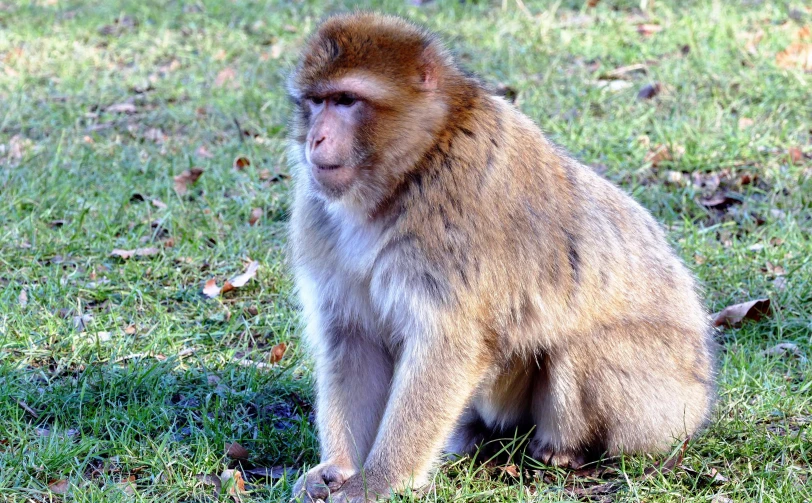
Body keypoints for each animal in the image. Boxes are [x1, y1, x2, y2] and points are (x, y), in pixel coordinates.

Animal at [284, 12, 712, 503]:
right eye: (315, 102)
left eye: (346, 101)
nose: (316, 138)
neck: (411, 169)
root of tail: (703, 388)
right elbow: (352, 339)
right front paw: (339, 468)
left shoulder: (455, 220)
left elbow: (447, 347)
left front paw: (378, 482)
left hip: (665, 404)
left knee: (581, 347)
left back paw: (562, 451)